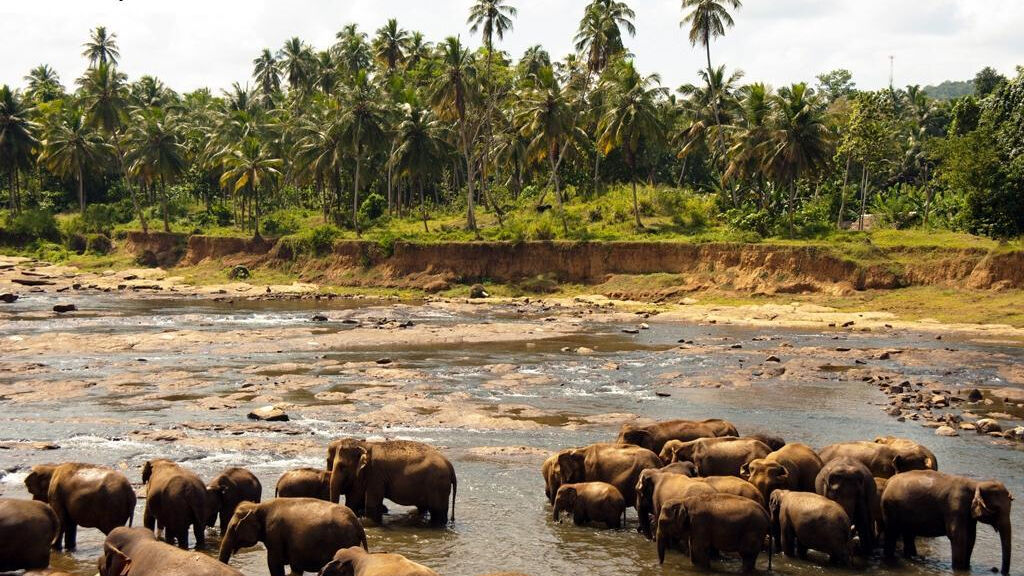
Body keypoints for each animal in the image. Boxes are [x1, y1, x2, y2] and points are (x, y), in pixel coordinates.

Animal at [220, 496, 368, 573]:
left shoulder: (274, 533)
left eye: (233, 528)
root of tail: (357, 523)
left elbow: (274, 563)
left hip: (344, 540)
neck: (258, 506)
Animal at [327, 434, 456, 524]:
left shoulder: (376, 475)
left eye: (342, 466)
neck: (366, 445)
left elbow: (371, 503)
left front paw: (367, 522)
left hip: (438, 484)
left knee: (438, 512)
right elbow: (354, 498)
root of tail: (450, 465)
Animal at [880, 469, 1015, 569]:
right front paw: (959, 569)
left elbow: (971, 537)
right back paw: (890, 558)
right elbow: (958, 536)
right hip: (890, 508)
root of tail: (887, 482)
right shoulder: (955, 506)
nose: (998, 570)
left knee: (908, 534)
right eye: (996, 509)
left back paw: (911, 557)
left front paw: (967, 567)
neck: (976, 484)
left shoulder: (968, 514)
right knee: (892, 533)